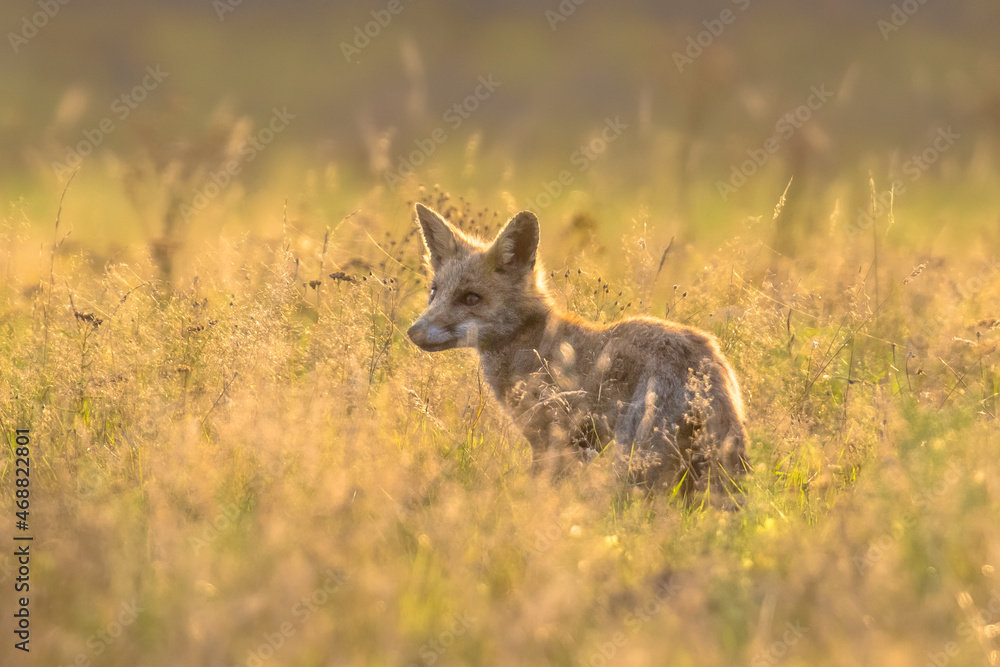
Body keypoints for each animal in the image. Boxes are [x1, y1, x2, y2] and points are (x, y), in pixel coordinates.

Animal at [406, 203, 749, 497]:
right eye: (434, 292)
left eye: (470, 298)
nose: (413, 332)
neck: (531, 344)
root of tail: (702, 360)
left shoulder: (554, 442)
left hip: (635, 458)